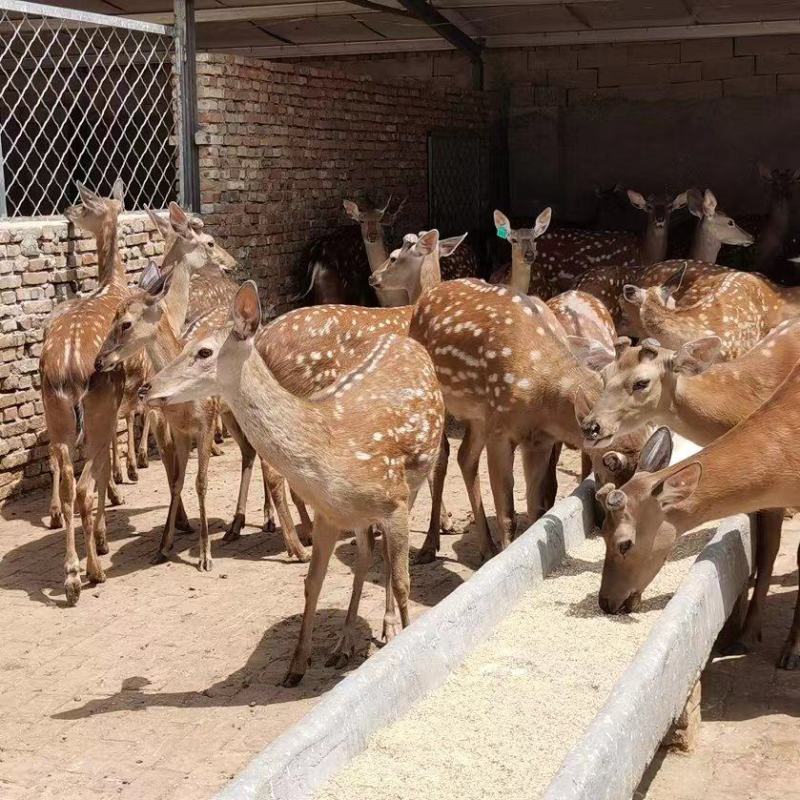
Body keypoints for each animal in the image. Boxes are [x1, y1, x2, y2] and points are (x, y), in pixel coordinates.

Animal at [145, 281, 445, 685]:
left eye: (204, 351)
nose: (148, 387)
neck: (329, 452)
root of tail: (409, 341)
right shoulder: (329, 515)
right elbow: (312, 581)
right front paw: (296, 667)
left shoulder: (393, 499)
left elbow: (402, 582)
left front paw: (407, 639)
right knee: (365, 556)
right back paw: (343, 643)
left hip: (414, 482)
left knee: (386, 558)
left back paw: (385, 628)